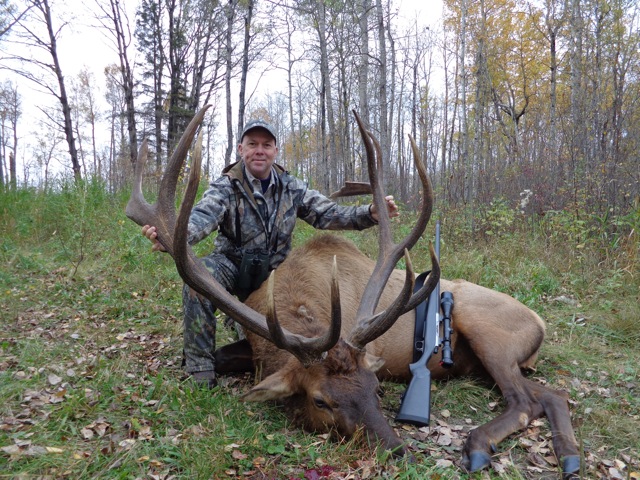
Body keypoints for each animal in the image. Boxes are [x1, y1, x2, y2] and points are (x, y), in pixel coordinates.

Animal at [126, 106, 580, 478]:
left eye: (376, 388)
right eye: (321, 401)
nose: (397, 452)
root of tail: (540, 323)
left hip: (488, 331)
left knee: (524, 402)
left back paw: (479, 445)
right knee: (550, 395)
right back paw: (568, 454)